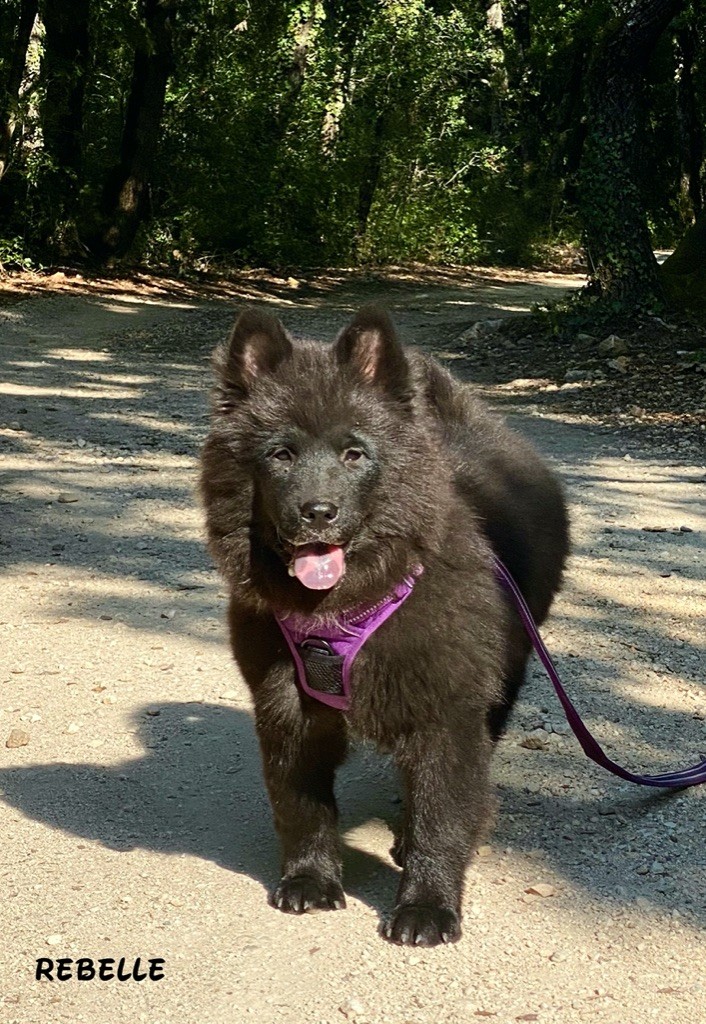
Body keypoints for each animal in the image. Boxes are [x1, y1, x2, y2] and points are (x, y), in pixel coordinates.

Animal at [198, 307, 565, 946]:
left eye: (354, 453)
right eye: (281, 454)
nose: (317, 513)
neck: (346, 606)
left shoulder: (447, 713)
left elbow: (441, 815)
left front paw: (427, 908)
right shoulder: (286, 706)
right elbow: (302, 804)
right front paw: (310, 880)